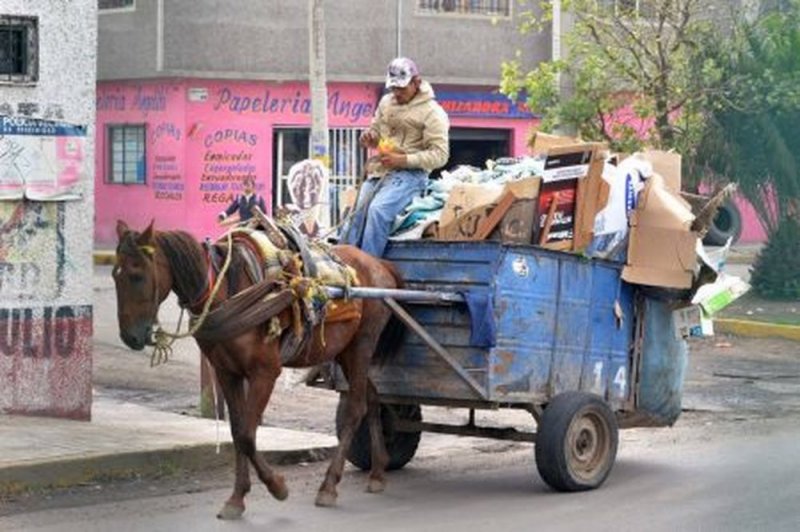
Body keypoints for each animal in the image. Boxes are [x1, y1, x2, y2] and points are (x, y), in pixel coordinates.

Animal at [111, 220, 406, 520]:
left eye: (137, 276)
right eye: (114, 275)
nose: (130, 337)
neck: (227, 291)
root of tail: (378, 264)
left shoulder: (265, 372)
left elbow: (247, 434)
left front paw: (277, 486)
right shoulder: (227, 373)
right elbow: (237, 431)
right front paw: (236, 498)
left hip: (361, 345)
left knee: (355, 408)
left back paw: (329, 486)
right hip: (346, 352)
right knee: (372, 398)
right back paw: (378, 471)